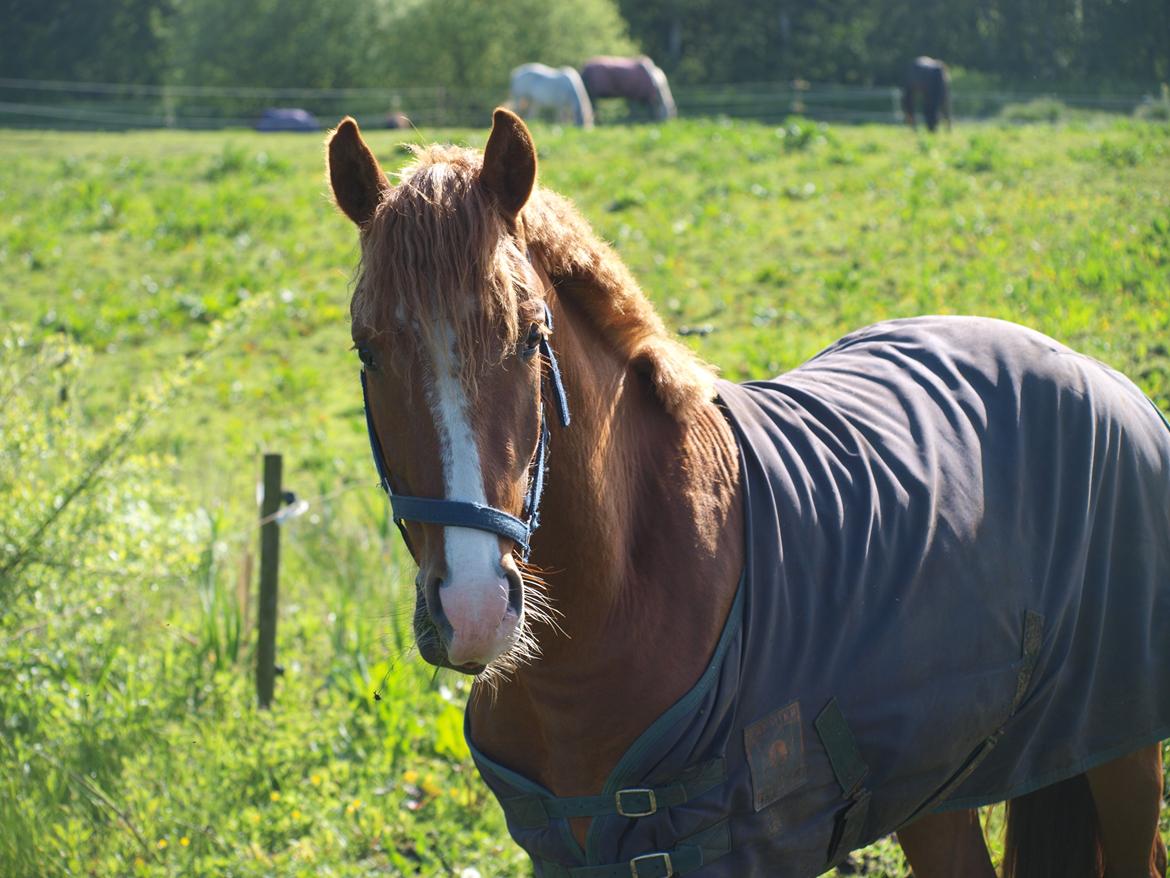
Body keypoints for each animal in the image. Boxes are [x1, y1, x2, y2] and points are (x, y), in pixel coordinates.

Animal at [327, 111, 1170, 878]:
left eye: (531, 338)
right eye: (366, 351)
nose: (471, 611)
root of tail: (1096, 372)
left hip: (1120, 753)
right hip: (939, 786)